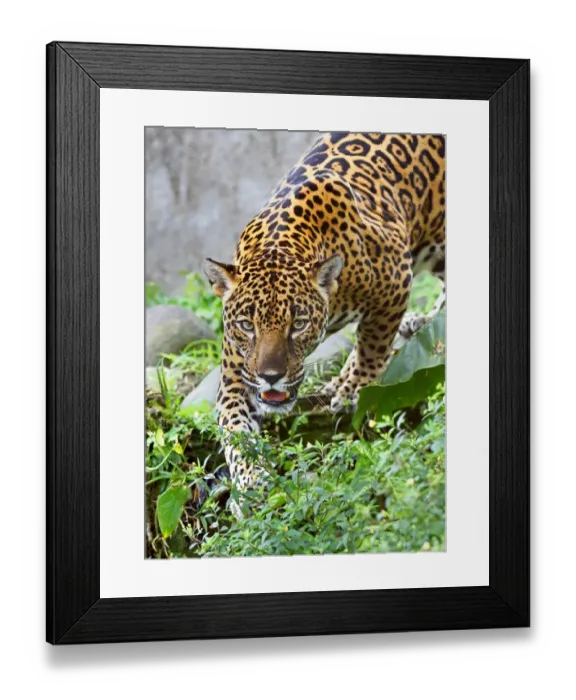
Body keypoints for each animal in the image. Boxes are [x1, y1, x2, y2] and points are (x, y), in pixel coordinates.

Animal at [204, 132, 446, 512]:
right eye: (246, 325)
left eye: (298, 324)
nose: (270, 376)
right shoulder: (235, 373)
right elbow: (235, 430)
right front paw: (252, 483)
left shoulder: (395, 279)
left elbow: (373, 345)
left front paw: (351, 389)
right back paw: (421, 322)